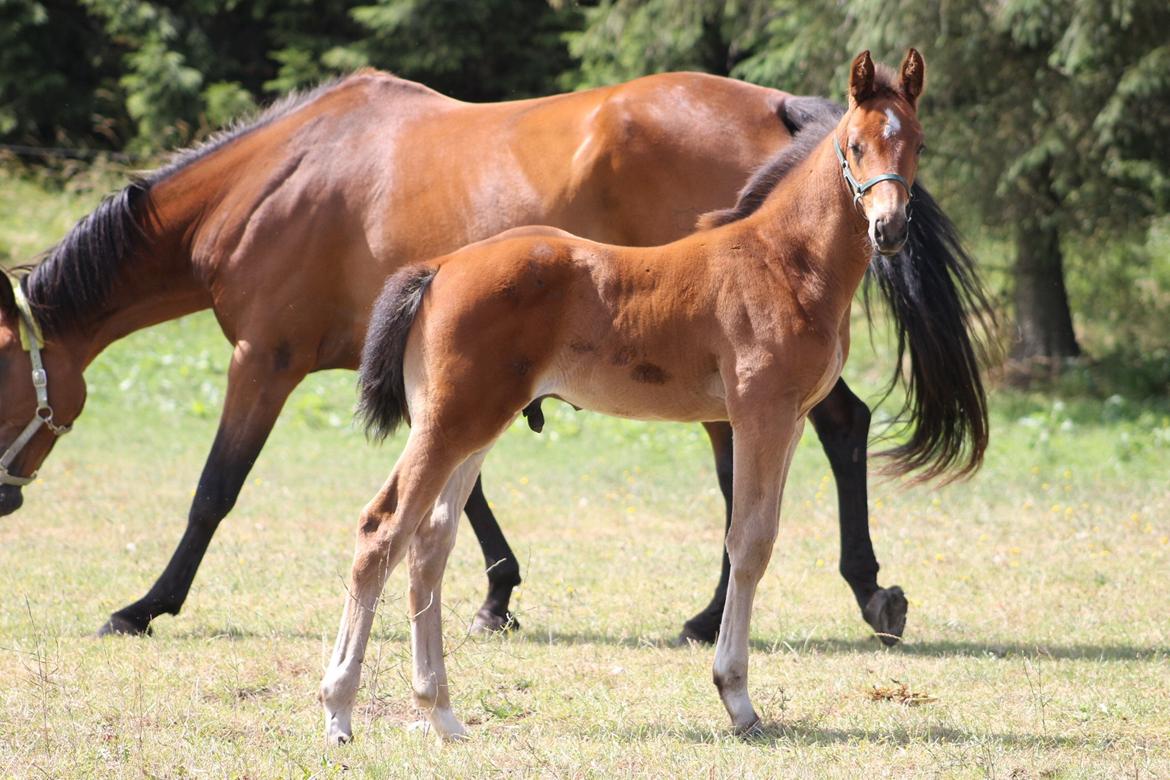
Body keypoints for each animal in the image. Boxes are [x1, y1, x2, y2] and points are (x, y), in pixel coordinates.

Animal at [0, 65, 987, 640]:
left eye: (3, 378)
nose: (4, 496)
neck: (282, 177)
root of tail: (778, 106)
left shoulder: (263, 360)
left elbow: (214, 490)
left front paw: (145, 605)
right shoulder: (449, 373)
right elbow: (458, 491)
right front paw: (498, 594)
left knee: (815, 442)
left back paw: (790, 605)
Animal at [325, 48, 926, 743]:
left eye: (916, 143)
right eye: (855, 146)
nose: (890, 229)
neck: (783, 262)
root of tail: (441, 267)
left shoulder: (794, 419)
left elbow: (763, 538)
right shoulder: (760, 414)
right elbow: (748, 544)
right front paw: (737, 699)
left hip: (473, 426)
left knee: (429, 544)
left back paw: (442, 714)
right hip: (450, 423)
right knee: (382, 531)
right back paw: (338, 711)